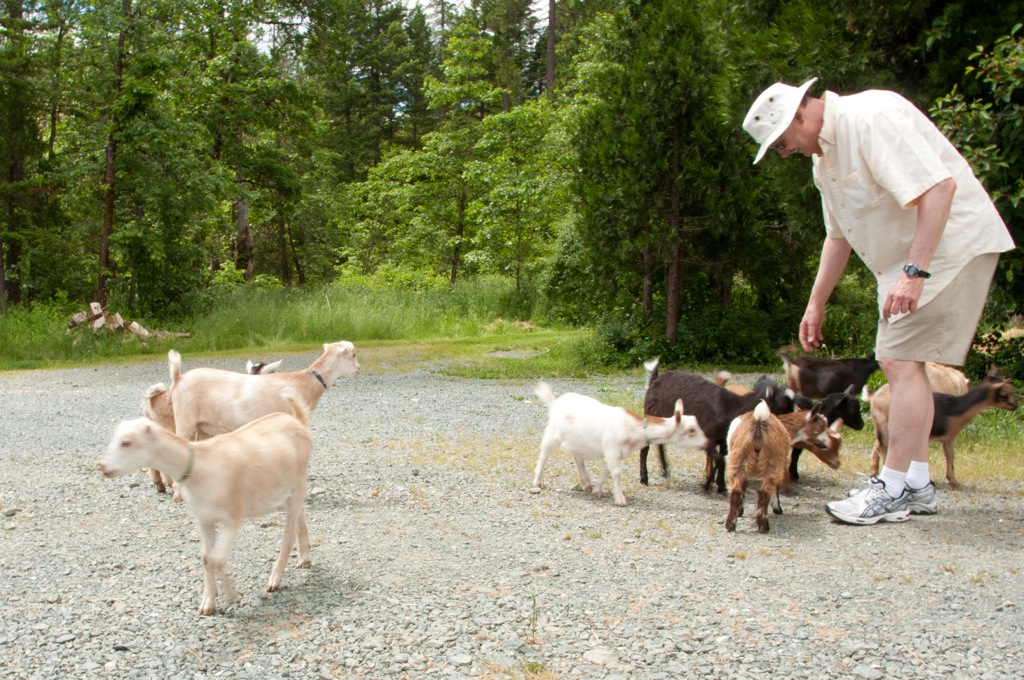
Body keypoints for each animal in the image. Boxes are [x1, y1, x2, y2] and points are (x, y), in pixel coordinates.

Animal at [102, 387, 315, 614]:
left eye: (126, 442)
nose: (103, 466)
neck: (201, 465)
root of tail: (298, 421)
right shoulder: (204, 518)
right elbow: (206, 557)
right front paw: (208, 603)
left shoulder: (233, 517)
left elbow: (217, 558)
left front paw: (230, 596)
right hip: (284, 490)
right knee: (299, 516)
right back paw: (304, 558)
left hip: (296, 485)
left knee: (288, 535)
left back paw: (275, 579)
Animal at [167, 340, 360, 440]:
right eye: (354, 354)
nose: (359, 369)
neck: (304, 382)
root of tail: (179, 377)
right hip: (185, 421)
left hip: (202, 428)